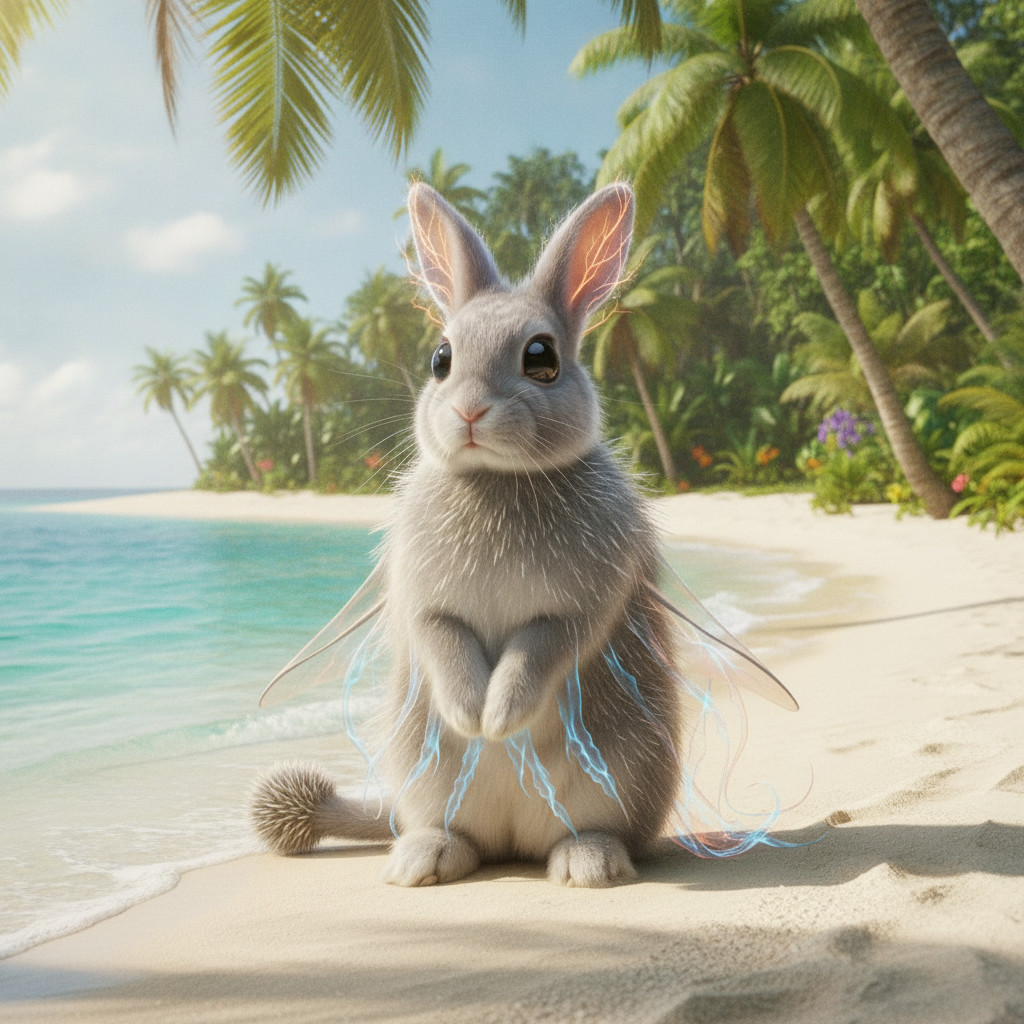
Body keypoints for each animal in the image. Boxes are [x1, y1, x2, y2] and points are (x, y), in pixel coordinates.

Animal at [249, 181, 795, 887]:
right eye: (441, 359)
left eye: (542, 358)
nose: (469, 412)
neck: (499, 478)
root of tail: (514, 843)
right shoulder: (425, 601)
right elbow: (443, 638)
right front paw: (471, 717)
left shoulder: (578, 606)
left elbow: (541, 648)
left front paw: (499, 718)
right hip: (423, 776)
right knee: (458, 835)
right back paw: (424, 858)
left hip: (620, 776)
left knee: (586, 831)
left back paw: (588, 861)